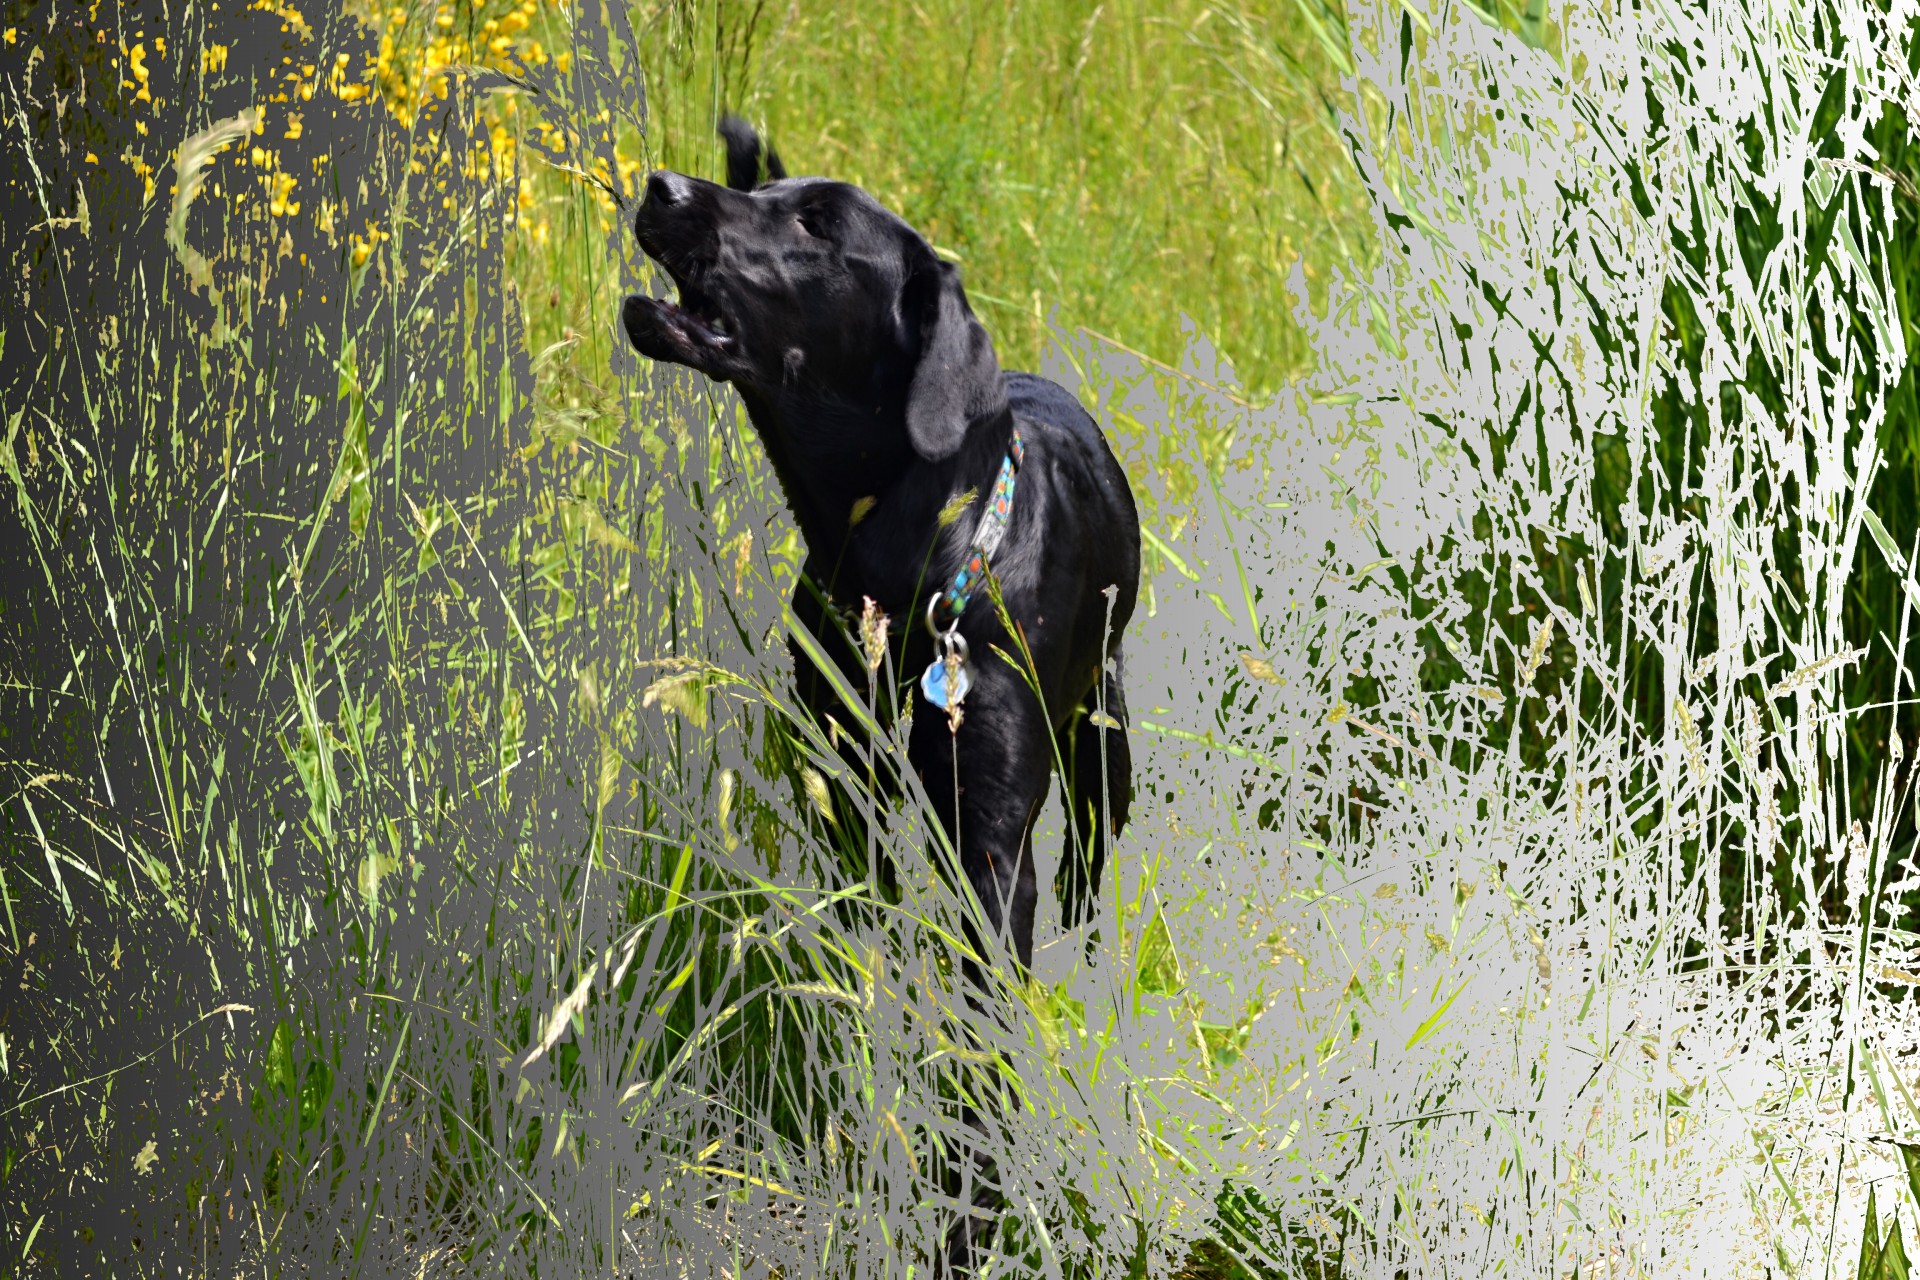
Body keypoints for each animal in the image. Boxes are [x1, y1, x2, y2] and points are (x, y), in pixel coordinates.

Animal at [622, 122, 1136, 982]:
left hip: (1103, 731)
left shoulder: (990, 842)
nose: (661, 185)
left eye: (817, 226)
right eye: (762, 192)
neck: (910, 576)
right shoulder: (841, 784)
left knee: (1091, 860)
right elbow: (865, 919)